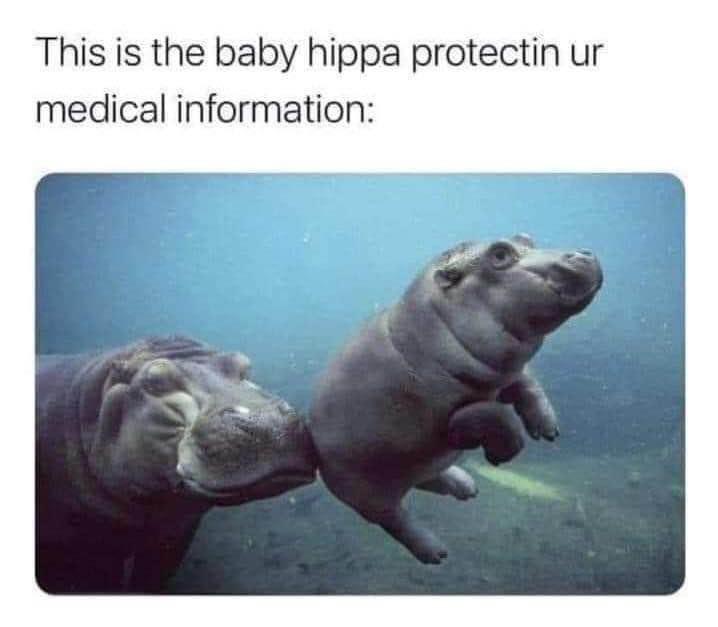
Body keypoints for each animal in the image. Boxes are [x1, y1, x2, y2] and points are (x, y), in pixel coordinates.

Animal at [309, 235, 602, 563]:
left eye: (526, 238)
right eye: (499, 254)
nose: (584, 254)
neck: (431, 322)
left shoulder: (507, 372)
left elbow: (529, 385)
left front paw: (548, 430)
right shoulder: (450, 421)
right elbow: (494, 416)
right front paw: (502, 456)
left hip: (413, 465)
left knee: (428, 478)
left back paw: (466, 487)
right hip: (367, 495)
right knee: (396, 520)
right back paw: (435, 553)